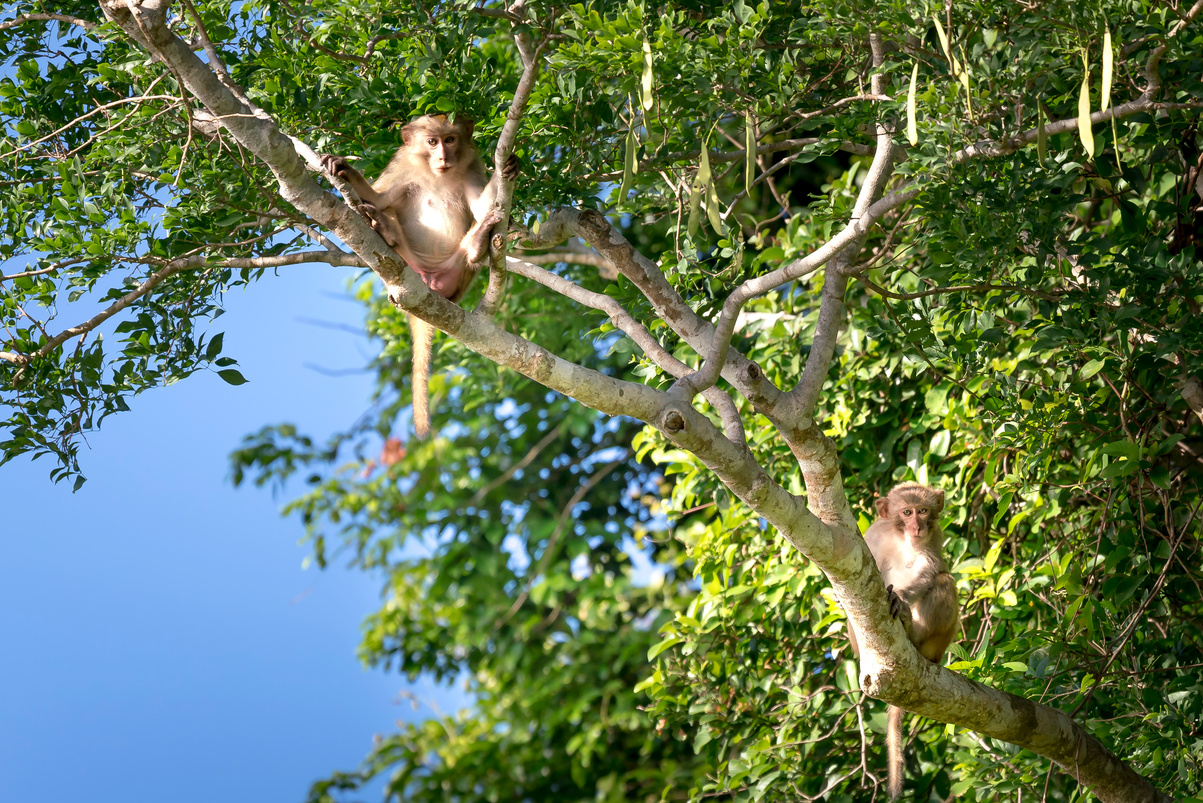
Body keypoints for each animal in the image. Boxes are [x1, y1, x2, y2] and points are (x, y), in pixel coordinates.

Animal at [322, 113, 519, 440]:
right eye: (431, 141)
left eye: (450, 139)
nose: (443, 156)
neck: (436, 174)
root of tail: (428, 286)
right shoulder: (403, 167)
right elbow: (380, 197)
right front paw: (346, 171)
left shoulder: (471, 165)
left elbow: (482, 208)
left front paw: (511, 165)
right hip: (405, 263)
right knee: (383, 215)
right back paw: (384, 229)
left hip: (455, 277)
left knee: (475, 247)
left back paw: (477, 245)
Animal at [846, 481, 957, 799]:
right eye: (906, 512)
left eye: (923, 511)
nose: (916, 526)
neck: (902, 539)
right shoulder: (874, 534)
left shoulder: (934, 537)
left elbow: (931, 570)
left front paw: (900, 597)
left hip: (937, 644)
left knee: (945, 581)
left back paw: (911, 628)